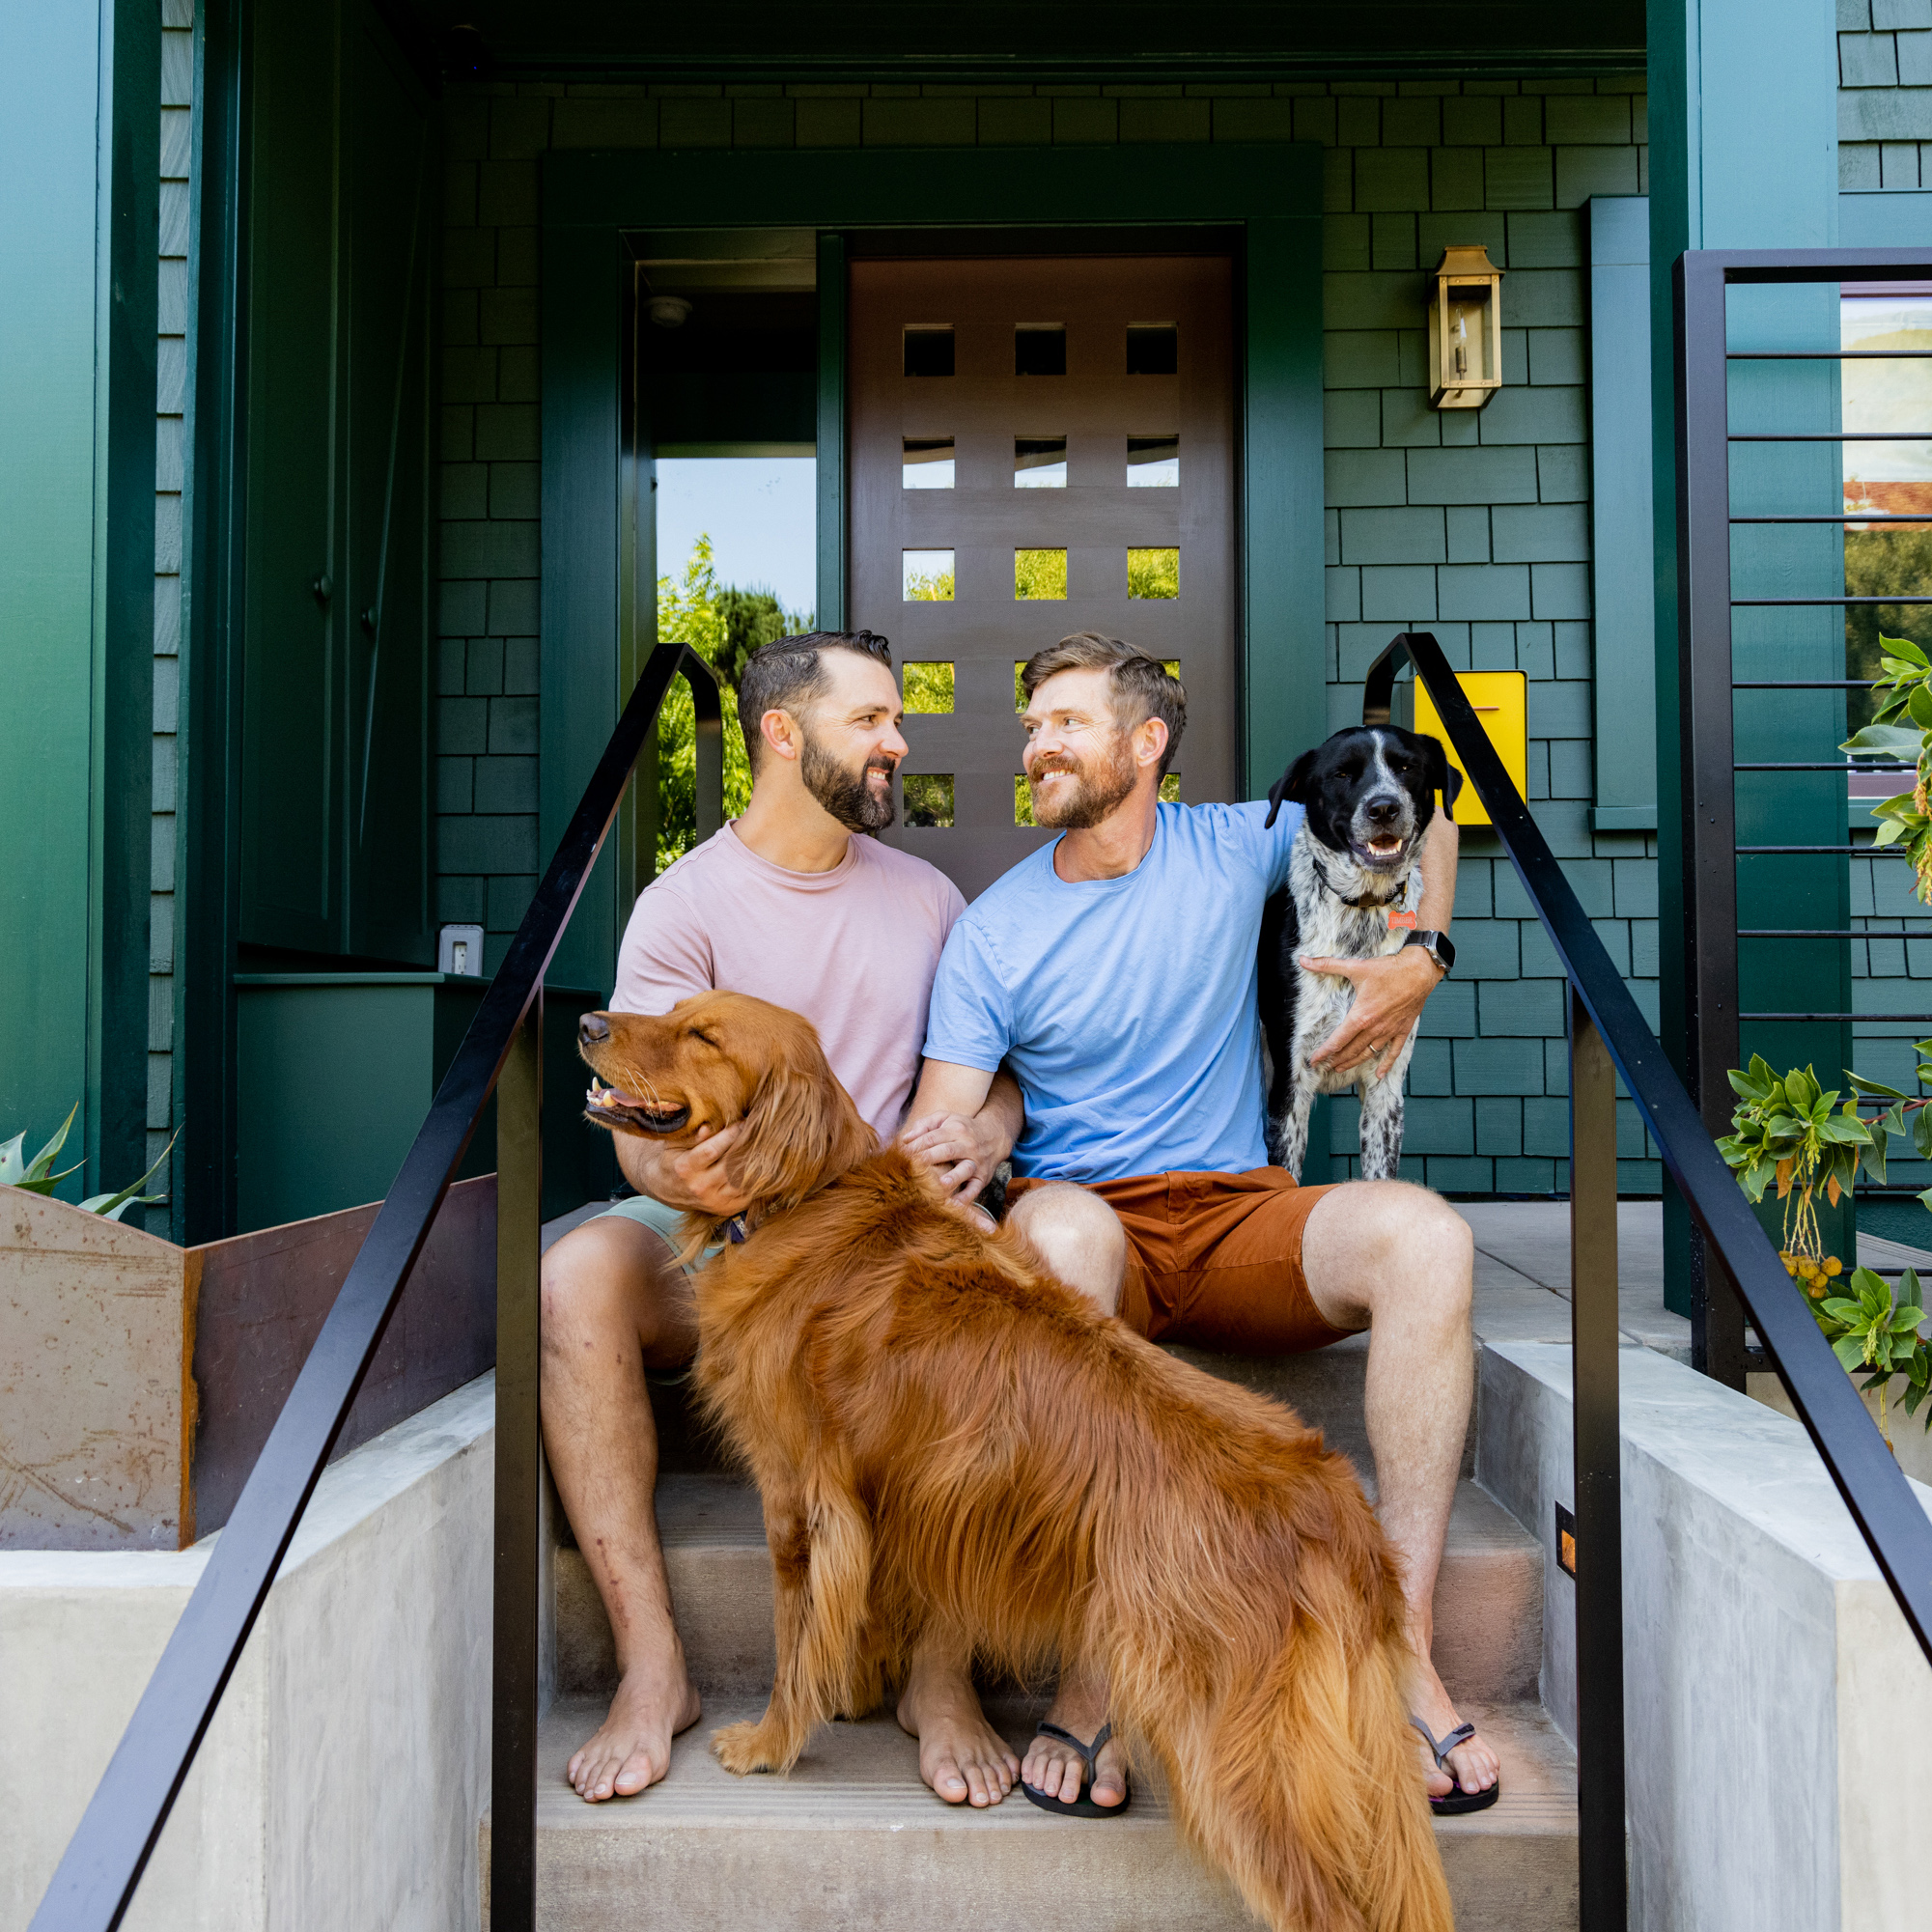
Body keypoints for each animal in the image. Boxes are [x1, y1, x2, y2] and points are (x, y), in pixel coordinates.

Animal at [1251, 726, 1460, 1174]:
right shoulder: (1289, 1086)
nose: (1384, 808)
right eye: (1343, 774)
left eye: (1406, 767)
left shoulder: (1386, 1085)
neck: (1362, 911)